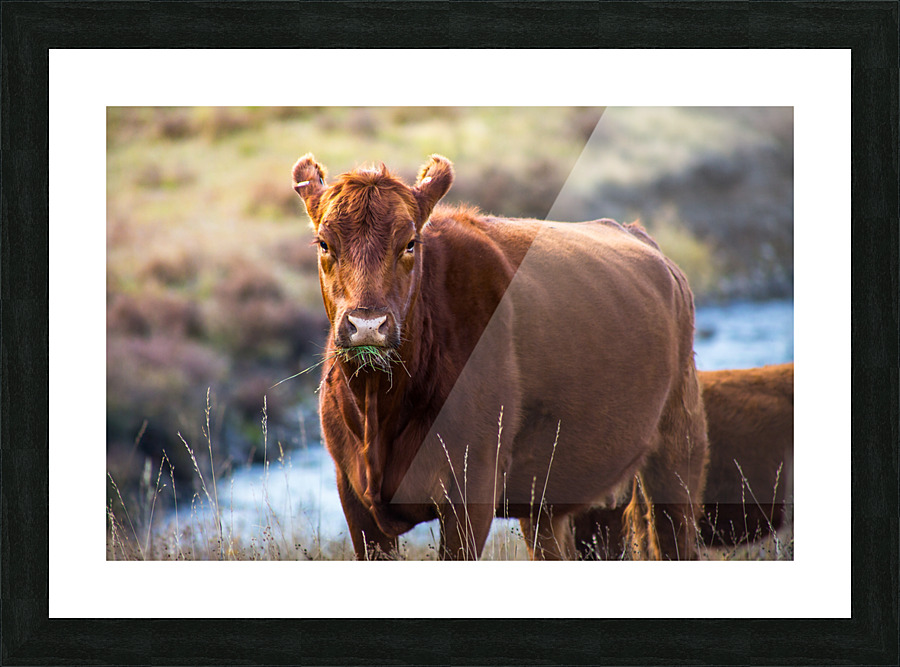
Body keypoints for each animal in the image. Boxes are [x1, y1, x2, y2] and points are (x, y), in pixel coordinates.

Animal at [291, 153, 709, 560]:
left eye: (410, 243)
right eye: (324, 243)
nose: (367, 324)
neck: (380, 412)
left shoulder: (472, 488)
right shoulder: (354, 496)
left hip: (678, 449)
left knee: (676, 537)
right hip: (553, 494)